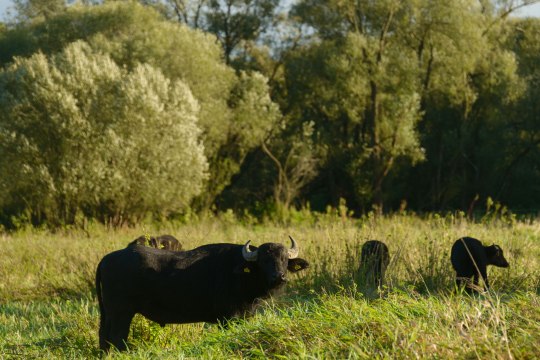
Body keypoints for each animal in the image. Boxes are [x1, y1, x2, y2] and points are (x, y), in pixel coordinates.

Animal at [95, 236, 310, 352]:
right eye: (265, 260)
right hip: (121, 313)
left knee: (104, 338)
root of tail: (107, 259)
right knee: (117, 338)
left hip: (109, 314)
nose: (279, 277)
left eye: (284, 259)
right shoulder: (228, 318)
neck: (241, 275)